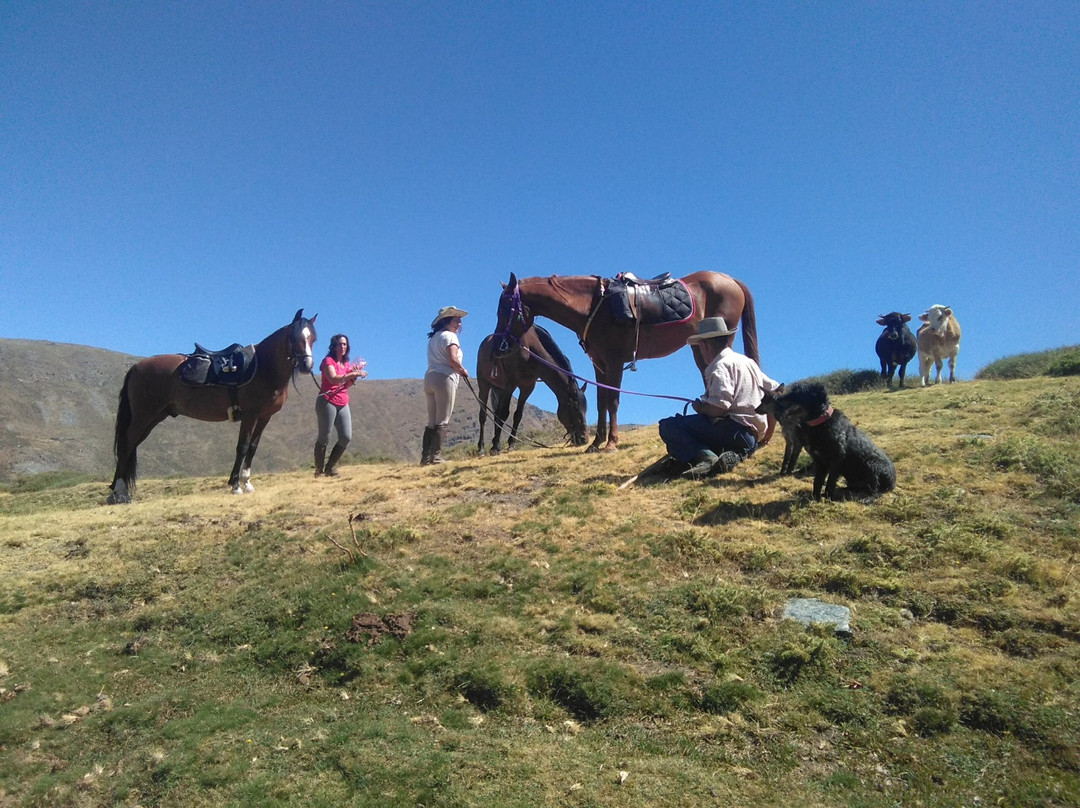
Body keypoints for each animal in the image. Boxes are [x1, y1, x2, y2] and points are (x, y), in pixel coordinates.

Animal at [108, 311, 317, 505]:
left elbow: (253, 447)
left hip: (154, 417)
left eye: (313, 338)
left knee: (131, 445)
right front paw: (235, 485)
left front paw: (247, 483)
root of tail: (136, 367)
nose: (307, 365)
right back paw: (118, 492)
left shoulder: (265, 417)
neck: (263, 369)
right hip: (143, 416)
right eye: (295, 337)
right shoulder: (250, 415)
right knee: (127, 444)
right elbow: (242, 446)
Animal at [475, 324, 587, 458]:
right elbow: (503, 413)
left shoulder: (527, 388)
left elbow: (517, 415)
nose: (584, 439)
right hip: (484, 384)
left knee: (496, 414)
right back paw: (481, 448)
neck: (530, 353)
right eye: (574, 408)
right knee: (483, 415)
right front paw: (495, 448)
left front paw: (511, 445)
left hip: (499, 388)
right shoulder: (510, 386)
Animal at [496, 270, 760, 447]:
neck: (593, 307)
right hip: (698, 345)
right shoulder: (599, 365)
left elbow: (613, 401)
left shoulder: (614, 362)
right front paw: (596, 443)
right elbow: (602, 400)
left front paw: (611, 443)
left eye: (507, 308)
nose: (500, 346)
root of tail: (730, 280)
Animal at [764, 380, 898, 499]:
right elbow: (817, 481)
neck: (821, 422)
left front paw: (827, 496)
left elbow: (830, 481)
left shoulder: (836, 460)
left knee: (876, 490)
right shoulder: (819, 461)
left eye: (798, 392)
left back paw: (867, 498)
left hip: (873, 466)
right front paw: (815, 497)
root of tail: (893, 482)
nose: (778, 399)